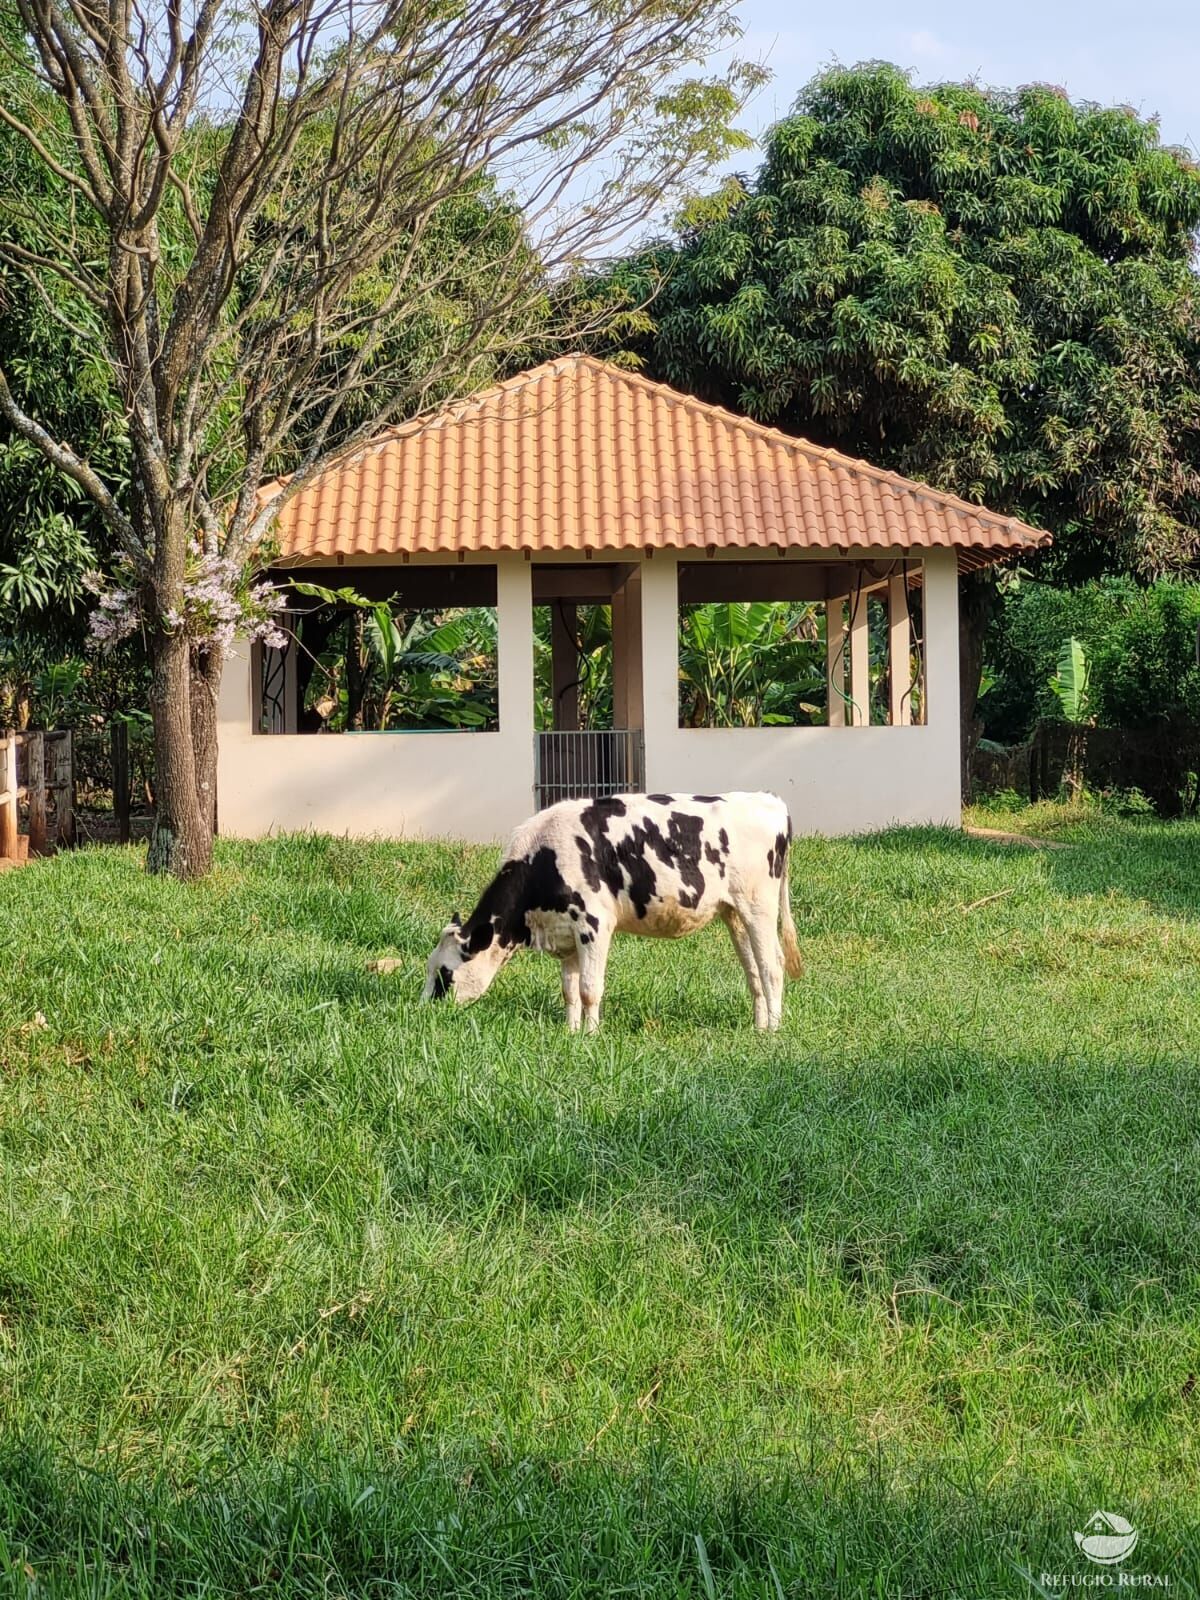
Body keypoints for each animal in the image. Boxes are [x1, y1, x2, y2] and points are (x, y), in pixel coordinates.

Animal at [425, 790, 809, 1036]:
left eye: (445, 973)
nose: (424, 1011)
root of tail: (767, 799)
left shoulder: (594, 924)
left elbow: (589, 988)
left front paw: (591, 1036)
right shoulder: (565, 932)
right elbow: (569, 989)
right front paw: (571, 1032)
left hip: (759, 906)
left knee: (772, 965)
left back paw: (773, 1031)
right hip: (735, 913)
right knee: (753, 970)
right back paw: (759, 1026)